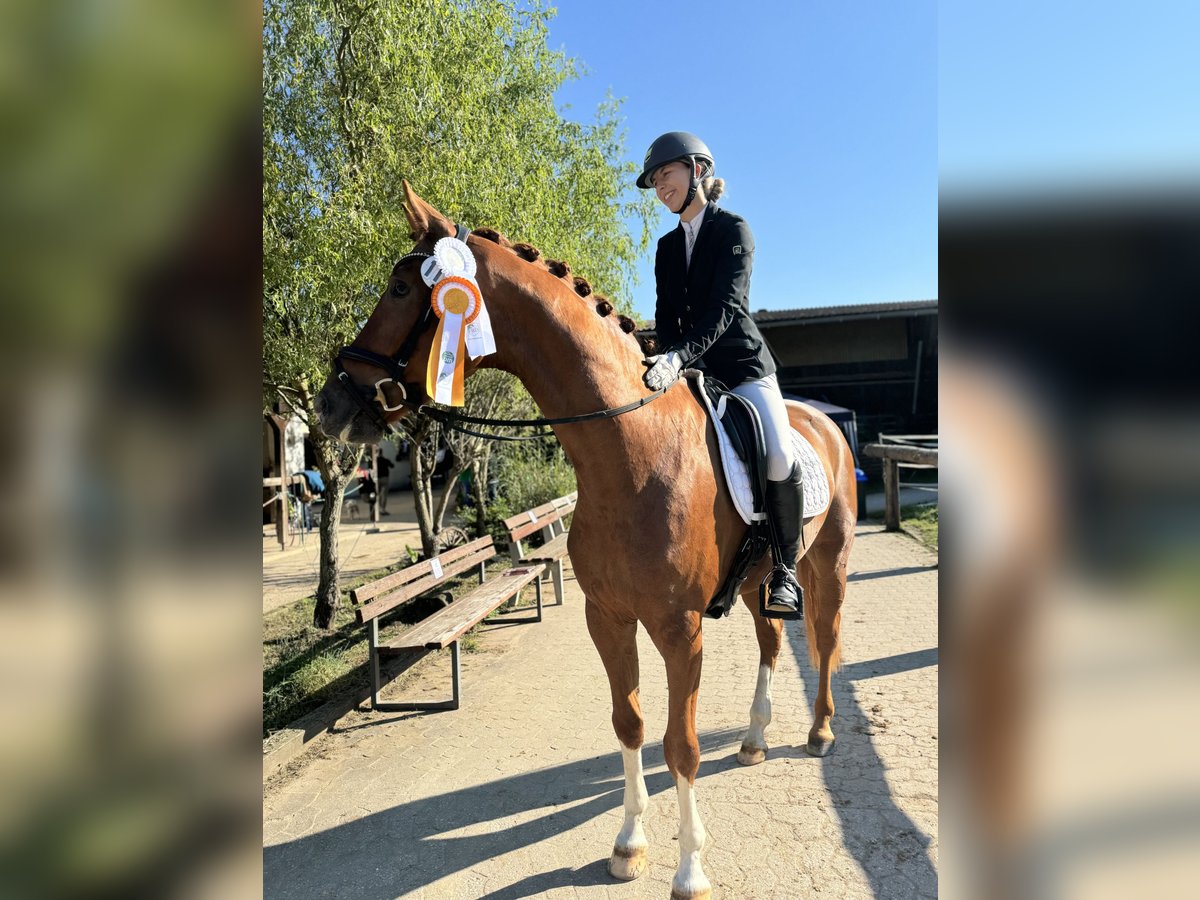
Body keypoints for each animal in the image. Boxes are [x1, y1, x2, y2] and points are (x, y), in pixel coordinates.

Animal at [314, 184, 859, 900]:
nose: (331, 405)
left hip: (828, 564)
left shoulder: (680, 628)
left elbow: (680, 744)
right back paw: (753, 739)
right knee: (772, 643)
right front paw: (628, 846)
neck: (629, 453)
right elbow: (629, 724)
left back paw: (819, 730)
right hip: (753, 581)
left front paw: (690, 869)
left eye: (403, 287)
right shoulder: (607, 617)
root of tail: (822, 420)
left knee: (823, 637)